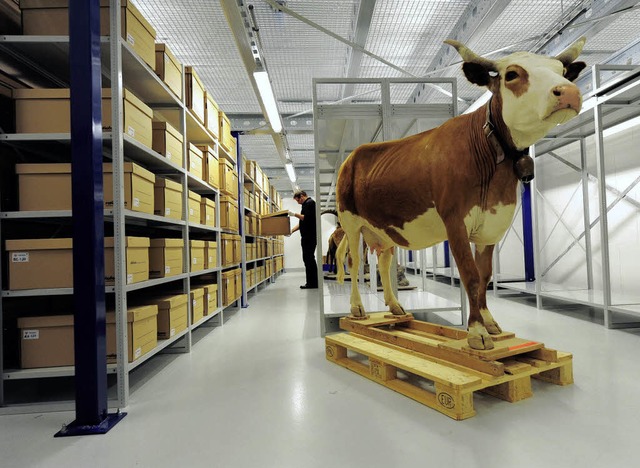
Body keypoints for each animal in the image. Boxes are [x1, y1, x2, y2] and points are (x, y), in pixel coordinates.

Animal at [338, 36, 588, 350]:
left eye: (562, 72)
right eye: (512, 74)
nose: (569, 92)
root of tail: (354, 154)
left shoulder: (492, 224)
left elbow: (484, 276)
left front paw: (490, 323)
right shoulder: (455, 222)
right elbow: (469, 276)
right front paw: (476, 332)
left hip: (385, 229)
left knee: (384, 262)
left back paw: (395, 308)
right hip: (350, 221)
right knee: (354, 262)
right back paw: (357, 309)